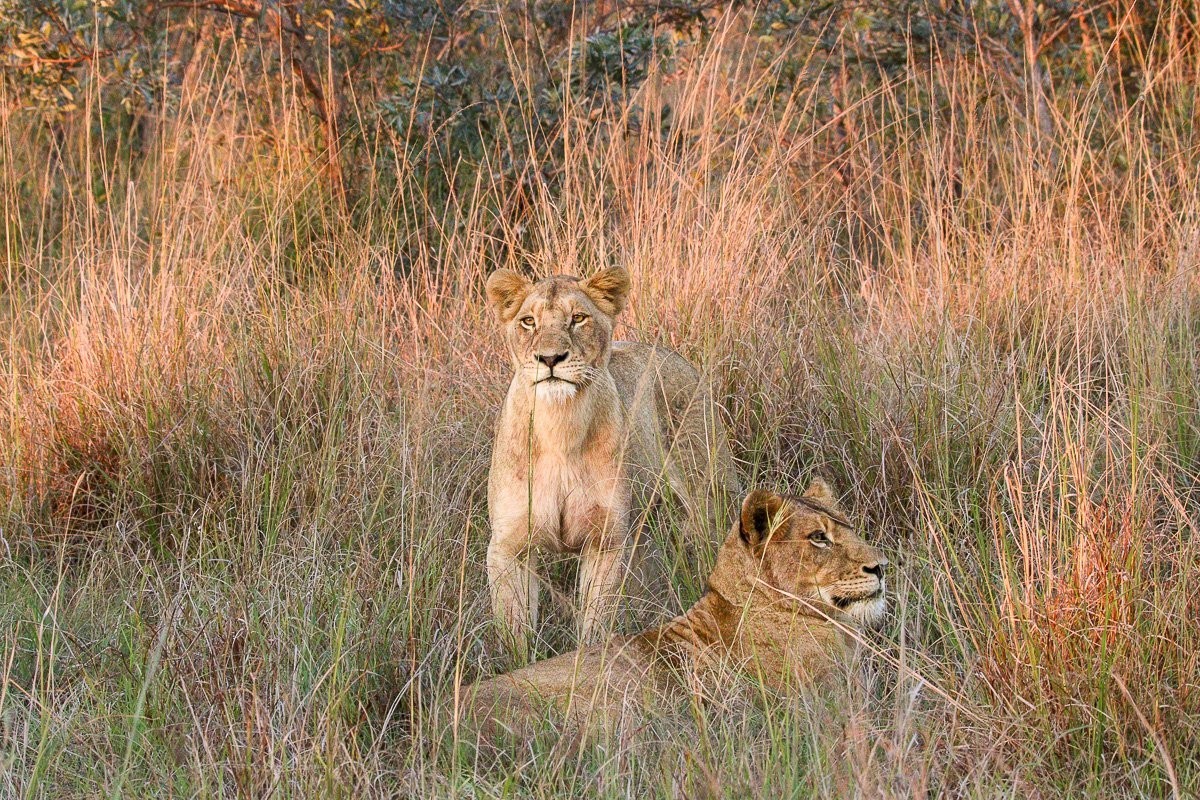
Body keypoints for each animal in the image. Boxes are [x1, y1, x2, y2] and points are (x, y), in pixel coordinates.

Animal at [484, 267, 740, 660]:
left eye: (578, 318)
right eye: (528, 321)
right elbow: (514, 632)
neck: (560, 427)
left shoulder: (606, 540)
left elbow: (596, 623)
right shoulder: (508, 547)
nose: (550, 358)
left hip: (706, 498)